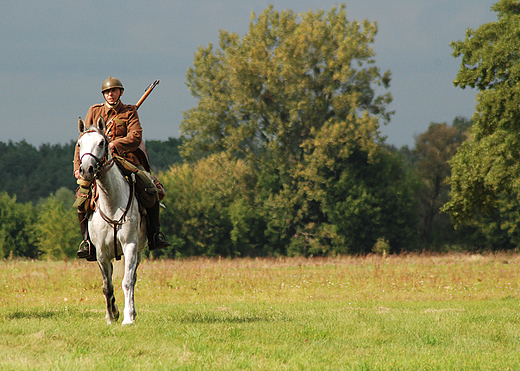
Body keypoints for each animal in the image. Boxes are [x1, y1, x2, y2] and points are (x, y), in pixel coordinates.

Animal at [75, 117, 145, 326]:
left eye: (102, 142)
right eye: (79, 144)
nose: (86, 170)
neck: (112, 203)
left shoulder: (130, 246)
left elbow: (127, 281)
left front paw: (128, 318)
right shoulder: (101, 252)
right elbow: (107, 285)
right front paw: (111, 315)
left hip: (138, 251)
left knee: (132, 277)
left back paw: (132, 312)